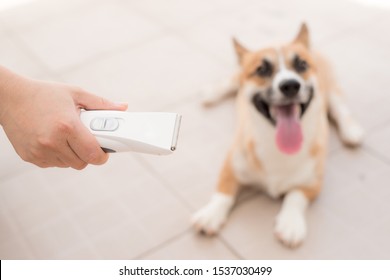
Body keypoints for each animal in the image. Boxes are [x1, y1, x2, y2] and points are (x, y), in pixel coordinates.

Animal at [192, 24, 362, 247]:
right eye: (262, 69)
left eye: (301, 65)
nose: (290, 85)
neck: (276, 146)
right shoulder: (231, 163)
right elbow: (223, 191)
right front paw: (210, 215)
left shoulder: (313, 183)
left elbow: (295, 196)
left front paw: (290, 223)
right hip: (239, 74)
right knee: (232, 80)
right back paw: (211, 93)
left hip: (332, 90)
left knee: (341, 109)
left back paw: (351, 131)